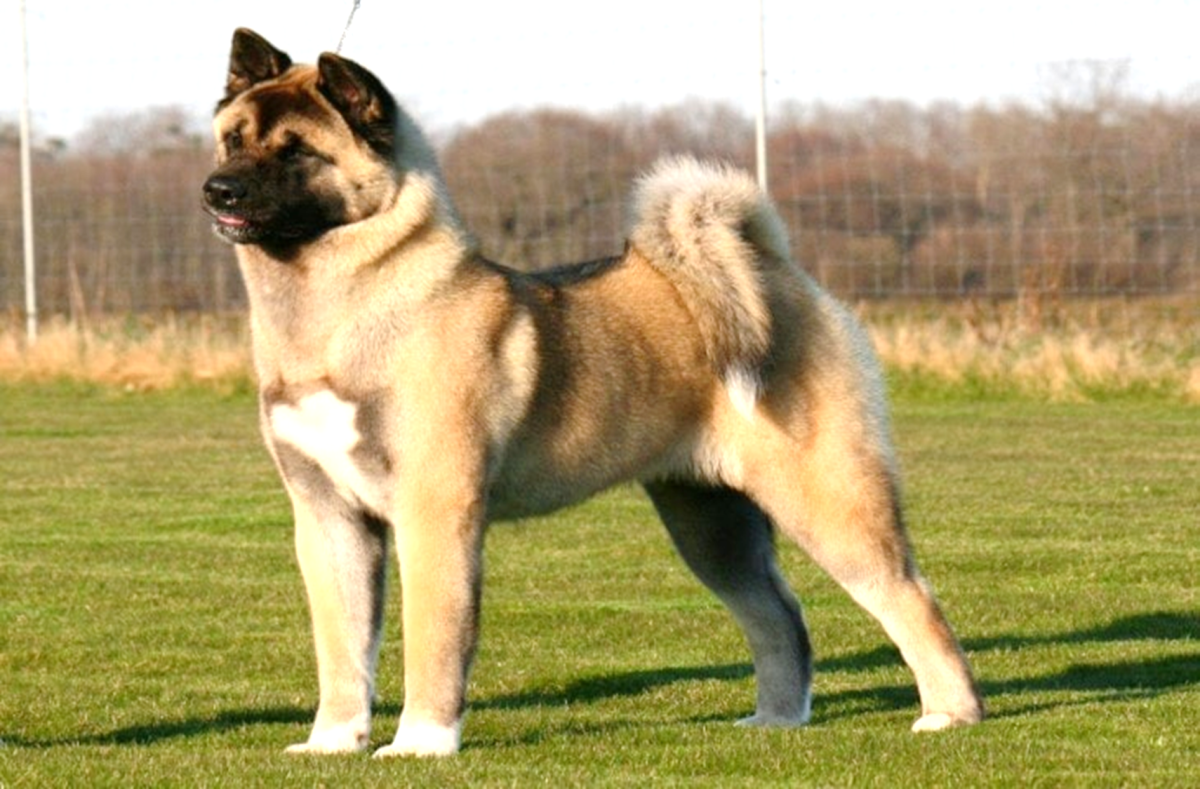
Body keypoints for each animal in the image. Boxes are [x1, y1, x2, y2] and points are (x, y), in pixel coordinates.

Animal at [202, 28, 983, 757]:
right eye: (232, 140)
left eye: (297, 152)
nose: (218, 190)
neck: (338, 306)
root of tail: (776, 272)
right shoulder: (327, 517)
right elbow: (342, 647)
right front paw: (334, 740)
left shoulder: (435, 510)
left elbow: (433, 638)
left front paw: (421, 741)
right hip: (711, 522)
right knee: (778, 615)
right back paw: (777, 718)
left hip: (826, 497)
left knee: (909, 596)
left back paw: (951, 713)